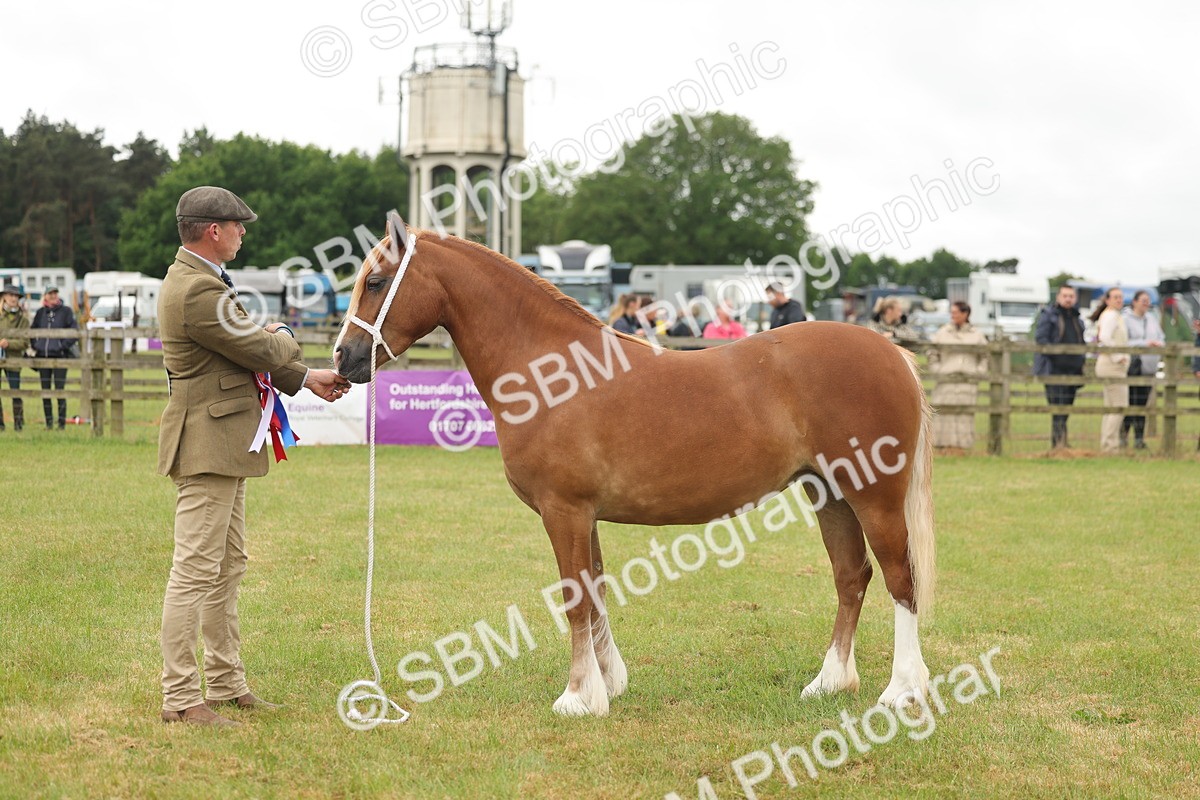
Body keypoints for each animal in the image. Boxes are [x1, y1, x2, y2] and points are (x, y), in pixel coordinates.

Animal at [334, 214, 935, 717]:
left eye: (376, 281)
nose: (343, 358)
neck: (551, 370)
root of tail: (893, 353)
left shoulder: (564, 511)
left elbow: (575, 599)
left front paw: (578, 697)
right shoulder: (585, 516)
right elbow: (595, 591)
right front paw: (609, 683)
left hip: (874, 495)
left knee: (900, 578)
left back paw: (901, 691)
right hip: (828, 492)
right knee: (851, 576)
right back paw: (829, 683)